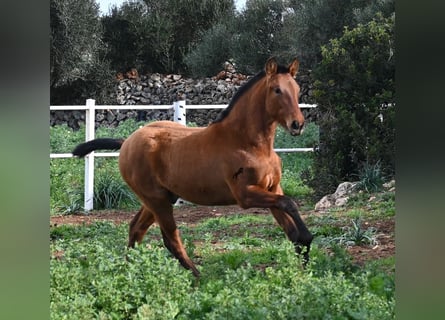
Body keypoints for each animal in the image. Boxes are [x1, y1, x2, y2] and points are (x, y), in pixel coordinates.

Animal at [72, 58, 312, 278]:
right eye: (277, 90)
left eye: (297, 89)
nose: (297, 124)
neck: (248, 143)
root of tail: (127, 142)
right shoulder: (246, 195)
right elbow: (289, 203)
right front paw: (307, 242)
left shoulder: (272, 188)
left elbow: (289, 223)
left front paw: (304, 258)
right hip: (156, 200)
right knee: (170, 238)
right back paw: (198, 277)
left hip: (159, 199)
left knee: (136, 229)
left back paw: (129, 272)